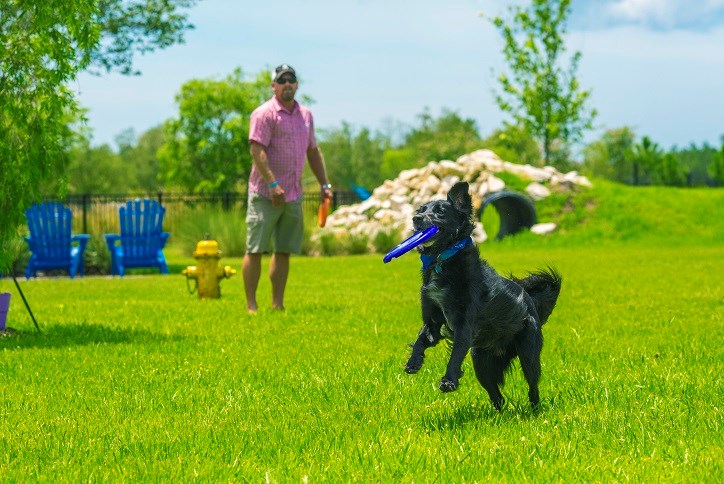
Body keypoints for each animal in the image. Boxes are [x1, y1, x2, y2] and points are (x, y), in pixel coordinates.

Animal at [404, 183, 564, 410]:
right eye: (421, 210)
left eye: (440, 212)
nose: (415, 218)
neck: (443, 259)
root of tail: (530, 300)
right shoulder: (433, 321)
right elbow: (420, 340)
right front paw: (413, 363)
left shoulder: (465, 324)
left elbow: (456, 354)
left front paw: (448, 381)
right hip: (480, 360)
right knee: (497, 396)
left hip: (528, 352)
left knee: (533, 385)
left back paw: (534, 410)